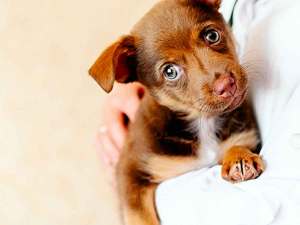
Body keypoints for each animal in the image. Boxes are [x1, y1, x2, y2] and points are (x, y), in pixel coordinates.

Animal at [89, 0, 264, 224]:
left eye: (212, 35)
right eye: (170, 71)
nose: (226, 85)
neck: (202, 121)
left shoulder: (245, 137)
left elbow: (236, 145)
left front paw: (239, 158)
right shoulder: (130, 173)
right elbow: (140, 218)